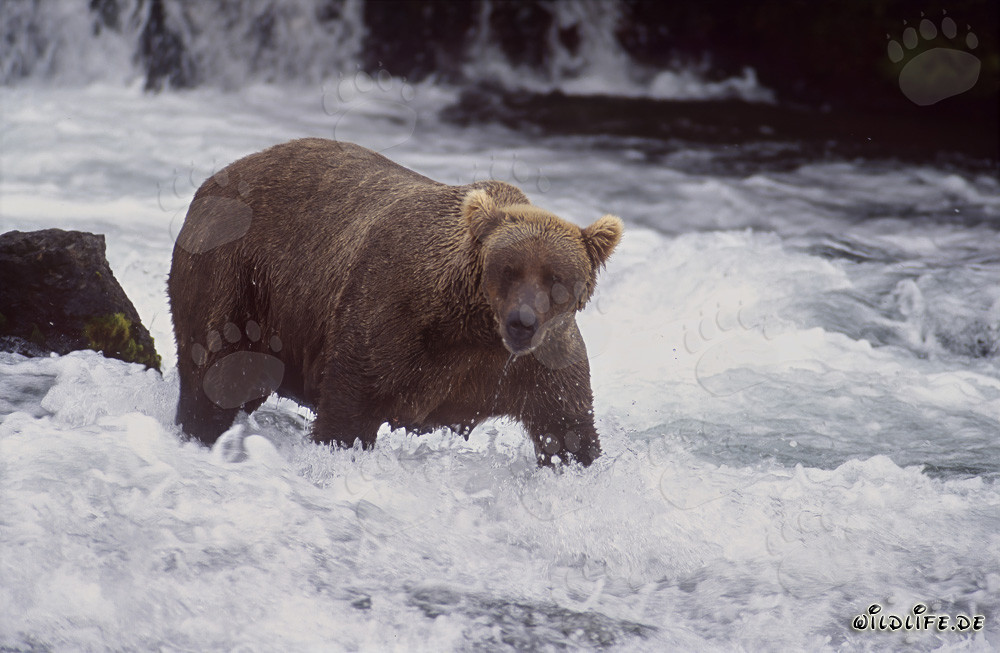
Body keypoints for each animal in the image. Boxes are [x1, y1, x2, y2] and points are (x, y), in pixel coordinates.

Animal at [168, 138, 622, 466]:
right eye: (508, 269)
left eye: (556, 278)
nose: (522, 322)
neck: (473, 331)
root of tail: (214, 180)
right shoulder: (391, 320)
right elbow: (348, 414)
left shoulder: (536, 364)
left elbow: (568, 428)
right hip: (234, 276)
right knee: (214, 376)